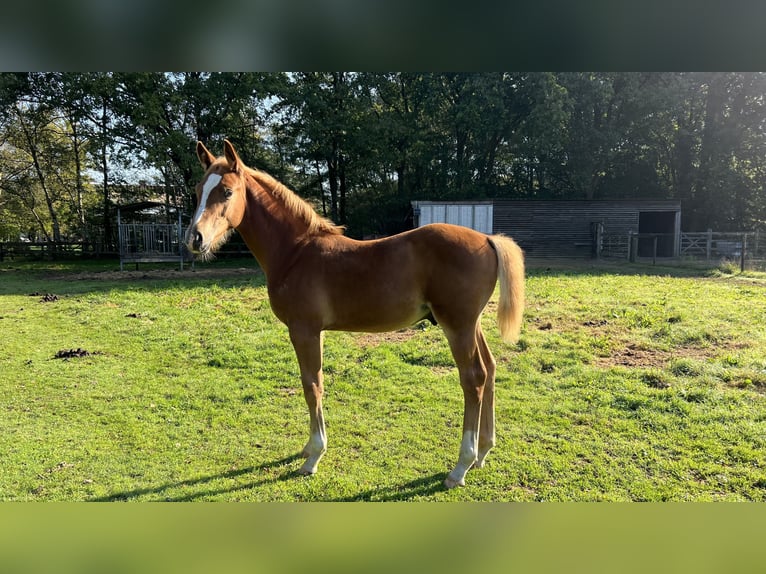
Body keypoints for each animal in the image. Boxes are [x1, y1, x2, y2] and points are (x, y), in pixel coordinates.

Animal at [184, 141, 528, 490]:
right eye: (198, 190)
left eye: (227, 191)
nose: (194, 239)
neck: (296, 252)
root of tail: (487, 239)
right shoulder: (312, 332)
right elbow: (314, 383)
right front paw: (308, 447)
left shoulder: (304, 330)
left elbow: (312, 385)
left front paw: (314, 455)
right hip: (472, 325)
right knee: (490, 369)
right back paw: (483, 452)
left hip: (457, 326)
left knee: (473, 379)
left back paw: (461, 466)